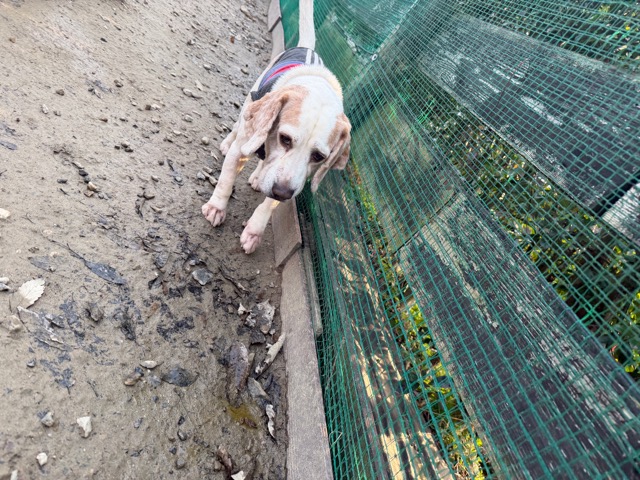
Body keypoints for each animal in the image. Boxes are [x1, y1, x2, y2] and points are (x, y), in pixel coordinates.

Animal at [201, 0, 351, 254]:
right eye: (285, 139)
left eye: (319, 157)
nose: (282, 192)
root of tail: (307, 48)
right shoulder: (242, 150)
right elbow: (226, 180)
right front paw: (217, 208)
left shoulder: (294, 181)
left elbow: (268, 205)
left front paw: (254, 232)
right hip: (248, 104)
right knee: (239, 126)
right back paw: (228, 143)